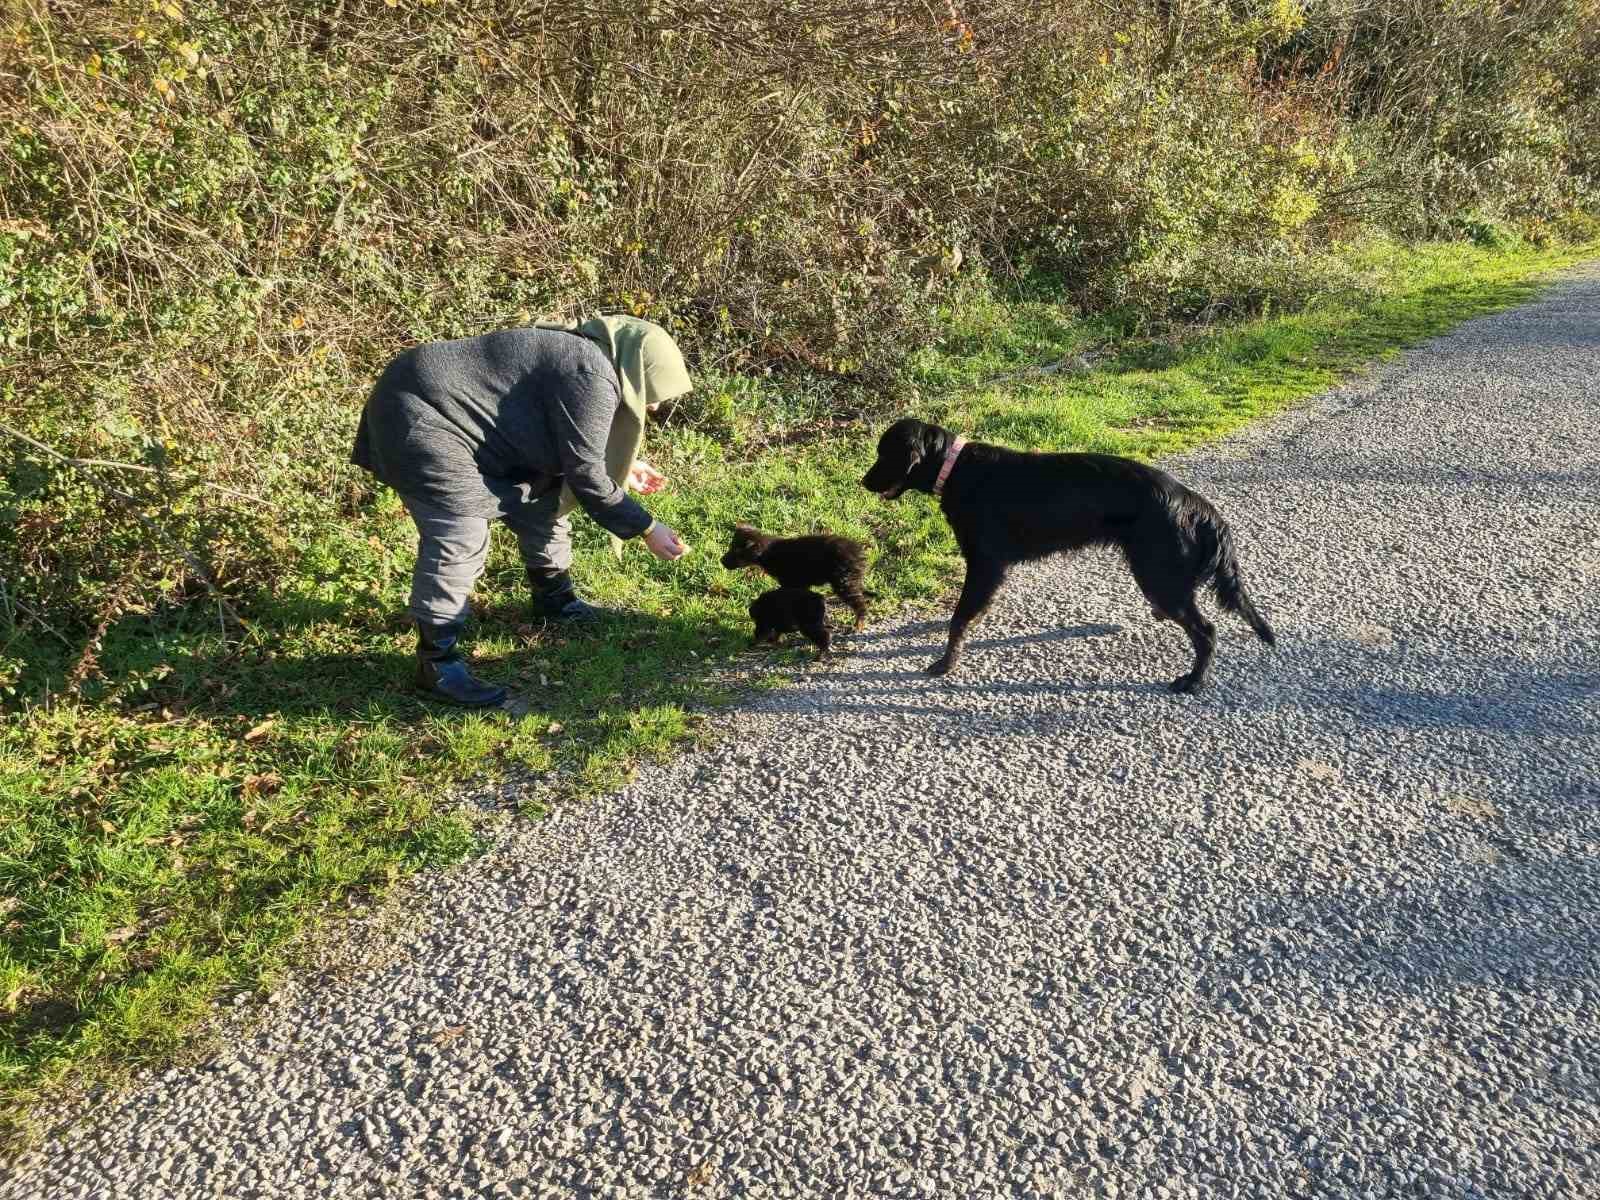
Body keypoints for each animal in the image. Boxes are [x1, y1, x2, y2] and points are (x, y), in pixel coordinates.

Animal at [726, 528, 876, 633]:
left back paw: (858, 625)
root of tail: (860, 553)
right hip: (849, 581)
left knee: (860, 605)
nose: (722, 561)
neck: (768, 553)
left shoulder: (790, 583)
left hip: (844, 582)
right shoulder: (799, 585)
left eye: (736, 552)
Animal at [864, 416, 1273, 691]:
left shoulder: (985, 564)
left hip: (1157, 573)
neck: (956, 469)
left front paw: (946, 662)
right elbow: (967, 612)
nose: (862, 482)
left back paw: (1193, 680)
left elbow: (960, 618)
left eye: (884, 454)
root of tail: (1196, 504)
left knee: (1206, 631)